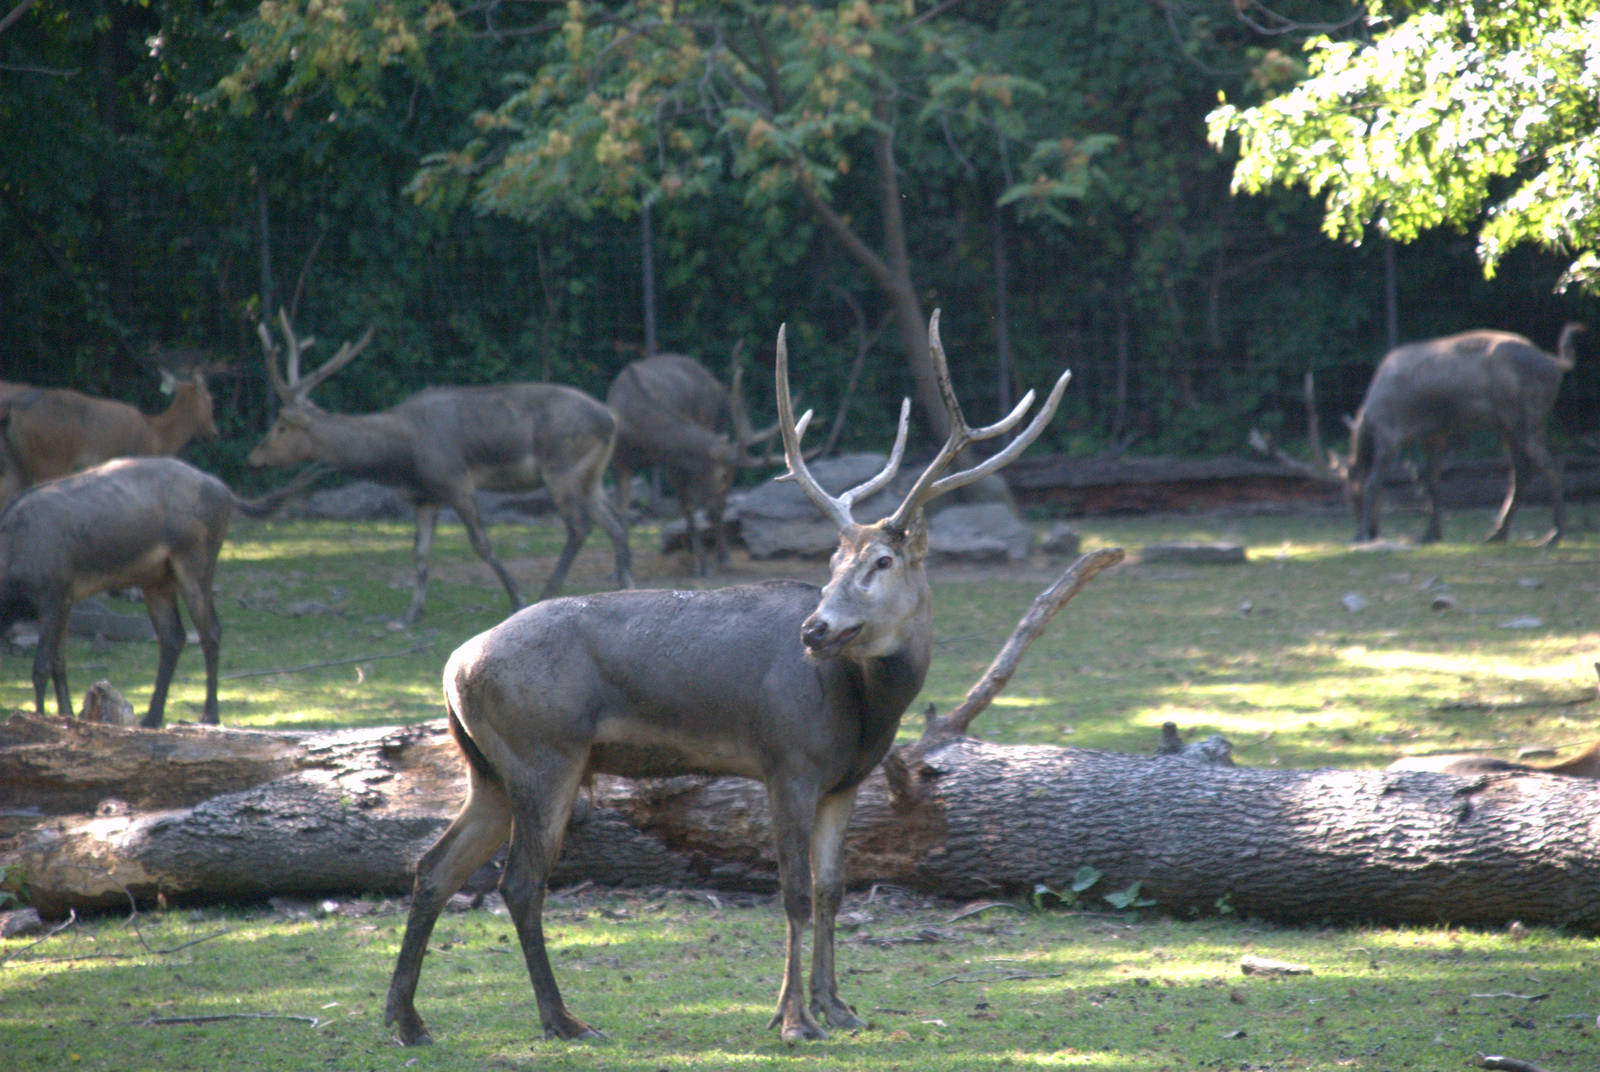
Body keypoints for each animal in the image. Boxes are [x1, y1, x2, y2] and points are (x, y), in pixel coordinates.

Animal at [0, 368, 219, 512]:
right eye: (210, 399)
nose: (214, 432)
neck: (159, 438)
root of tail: (14, 408)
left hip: (16, 461)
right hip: (50, 457)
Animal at [0, 457, 237, 728]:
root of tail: (227, 493)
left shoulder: (52, 594)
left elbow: (40, 667)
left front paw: (39, 717)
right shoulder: (66, 599)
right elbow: (59, 664)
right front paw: (66, 714)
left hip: (195, 561)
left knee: (210, 631)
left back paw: (210, 715)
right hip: (157, 580)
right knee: (173, 637)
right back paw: (152, 717)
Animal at [247, 312, 634, 624]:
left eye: (281, 426)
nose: (253, 458)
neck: (402, 459)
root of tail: (611, 419)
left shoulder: (455, 480)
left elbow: (482, 544)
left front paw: (517, 597)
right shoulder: (425, 497)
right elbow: (419, 554)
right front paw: (409, 614)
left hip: (561, 467)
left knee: (579, 527)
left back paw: (546, 593)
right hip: (590, 476)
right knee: (615, 523)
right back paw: (628, 587)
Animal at [606, 349, 779, 575]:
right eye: (721, 476)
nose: (716, 508)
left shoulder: (673, 459)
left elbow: (687, 505)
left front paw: (703, 563)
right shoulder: (618, 462)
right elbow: (621, 511)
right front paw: (619, 568)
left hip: (716, 423)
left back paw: (720, 556)